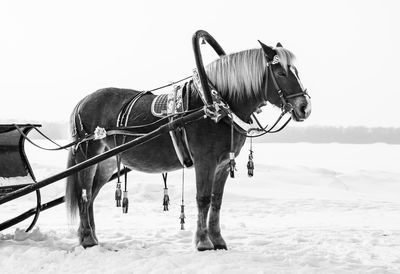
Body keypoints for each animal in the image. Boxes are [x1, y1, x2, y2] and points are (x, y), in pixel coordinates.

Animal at [65, 41, 312, 250]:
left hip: (106, 162)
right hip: (88, 155)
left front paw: (218, 240)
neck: (217, 105)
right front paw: (203, 242)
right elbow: (203, 199)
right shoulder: (205, 161)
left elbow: (216, 201)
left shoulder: (223, 164)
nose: (305, 107)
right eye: (281, 73)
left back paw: (92, 237)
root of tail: (82, 102)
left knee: (91, 195)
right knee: (84, 194)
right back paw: (87, 239)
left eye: (296, 72)